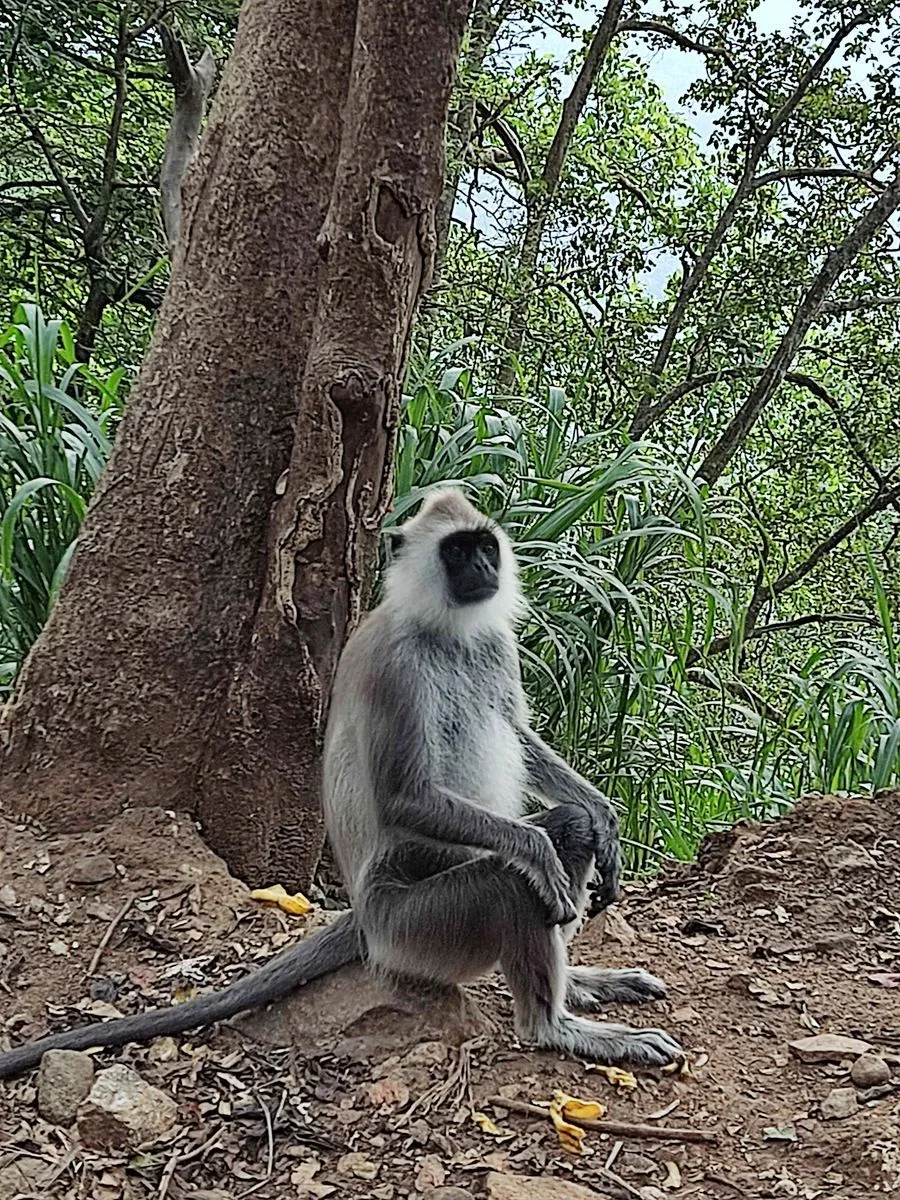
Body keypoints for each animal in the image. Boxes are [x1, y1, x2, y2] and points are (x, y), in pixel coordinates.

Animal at [0, 487, 681, 1080]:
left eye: (485, 547)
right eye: (457, 551)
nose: (485, 566)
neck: (446, 631)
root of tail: (364, 917)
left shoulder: (494, 644)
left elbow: (521, 737)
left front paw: (605, 817)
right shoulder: (397, 668)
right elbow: (412, 799)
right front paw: (540, 849)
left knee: (571, 830)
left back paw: (580, 982)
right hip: (418, 927)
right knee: (515, 878)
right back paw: (552, 1023)